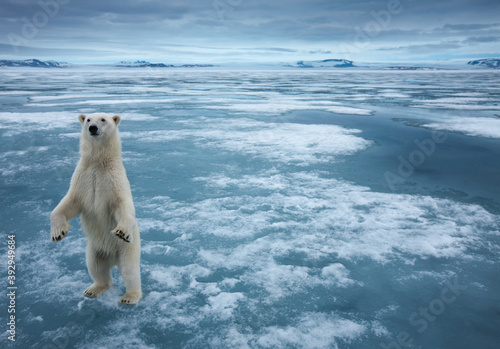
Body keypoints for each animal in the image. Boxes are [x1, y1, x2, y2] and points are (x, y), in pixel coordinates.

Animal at [49, 113, 141, 304]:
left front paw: (122, 231)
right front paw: (58, 233)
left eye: (103, 120)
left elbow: (122, 205)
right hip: (95, 248)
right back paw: (93, 289)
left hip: (127, 249)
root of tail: (112, 258)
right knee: (96, 267)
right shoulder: (82, 178)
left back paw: (130, 297)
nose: (93, 128)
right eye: (88, 120)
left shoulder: (114, 180)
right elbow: (69, 203)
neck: (98, 163)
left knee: (129, 270)